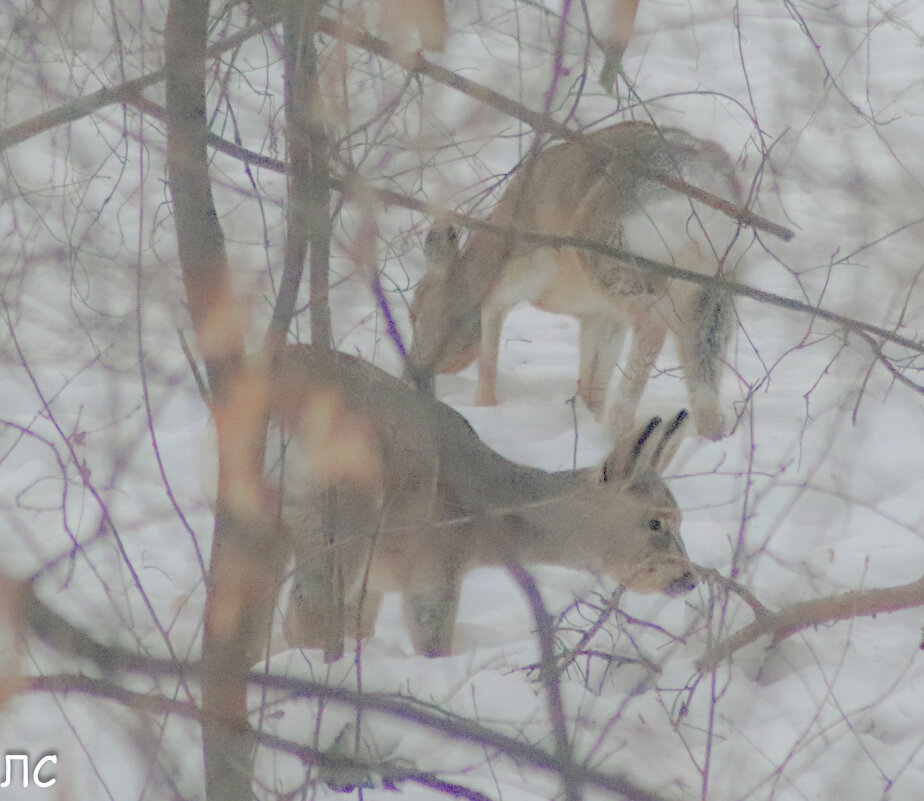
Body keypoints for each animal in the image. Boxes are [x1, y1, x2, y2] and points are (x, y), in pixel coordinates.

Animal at [270, 344, 696, 656]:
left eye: (681, 518)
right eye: (655, 521)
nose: (688, 579)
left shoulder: (374, 583)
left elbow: (361, 627)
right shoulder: (436, 560)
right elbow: (433, 642)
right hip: (340, 515)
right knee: (307, 614)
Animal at [406, 122, 752, 440]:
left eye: (414, 311)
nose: (411, 368)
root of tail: (697, 179)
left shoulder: (512, 281)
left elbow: (489, 349)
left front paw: (483, 408)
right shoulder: (601, 315)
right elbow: (592, 382)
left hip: (609, 254)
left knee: (652, 327)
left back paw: (617, 427)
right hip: (711, 288)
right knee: (703, 361)